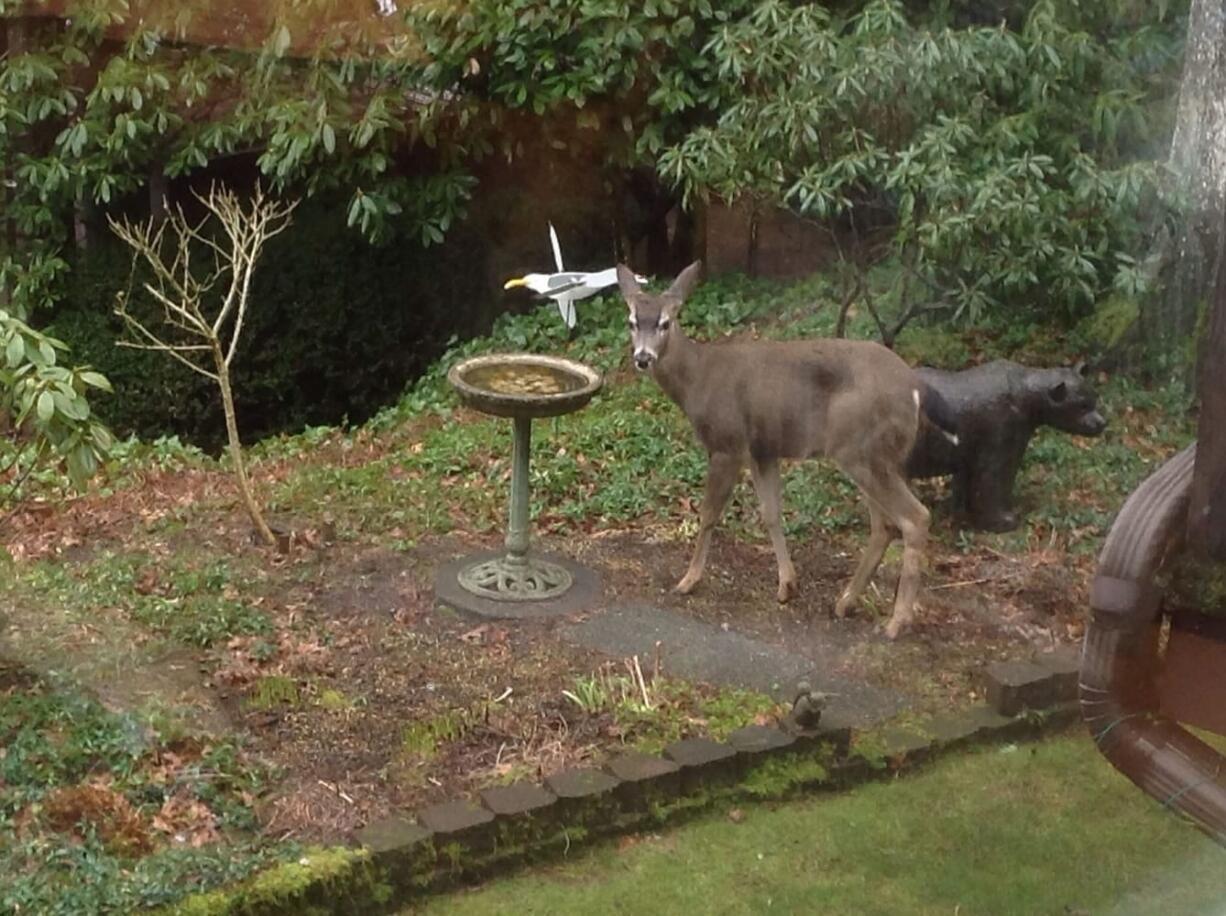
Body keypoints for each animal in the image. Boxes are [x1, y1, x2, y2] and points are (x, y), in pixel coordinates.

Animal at [622, 261, 956, 642]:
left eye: (665, 322)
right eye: (632, 321)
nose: (643, 358)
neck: (697, 380)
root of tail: (916, 388)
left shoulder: (727, 442)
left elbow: (708, 514)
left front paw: (688, 580)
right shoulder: (763, 449)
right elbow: (771, 513)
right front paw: (787, 586)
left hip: (860, 451)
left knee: (915, 517)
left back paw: (896, 622)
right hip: (881, 456)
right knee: (884, 525)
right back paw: (845, 602)